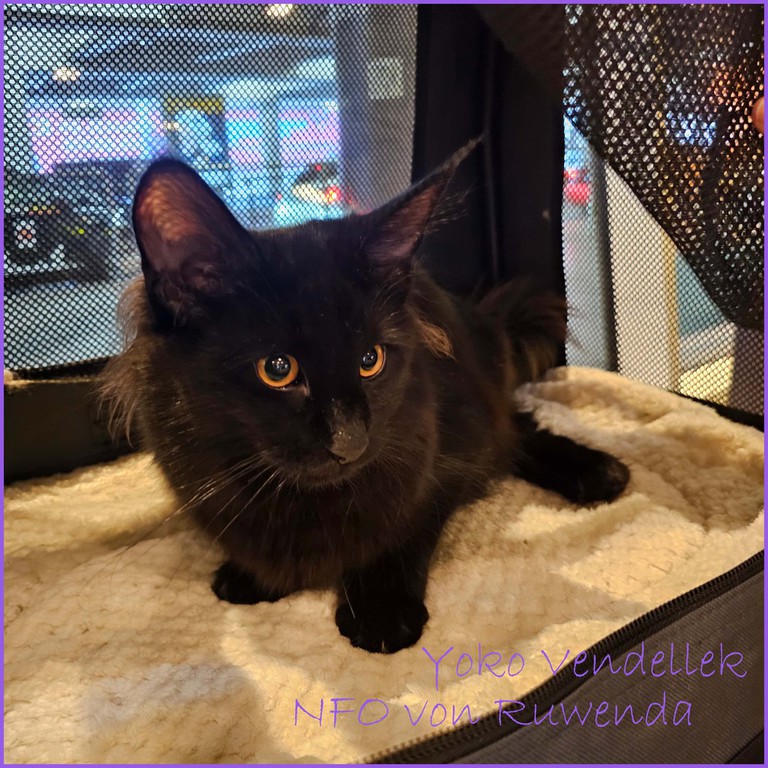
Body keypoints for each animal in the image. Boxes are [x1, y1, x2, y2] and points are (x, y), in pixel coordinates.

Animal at [102, 141, 629, 654]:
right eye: (277, 369)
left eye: (370, 360)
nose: (350, 441)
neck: (300, 500)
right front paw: (253, 577)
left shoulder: (442, 458)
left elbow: (404, 529)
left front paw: (381, 609)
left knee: (517, 427)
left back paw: (600, 472)